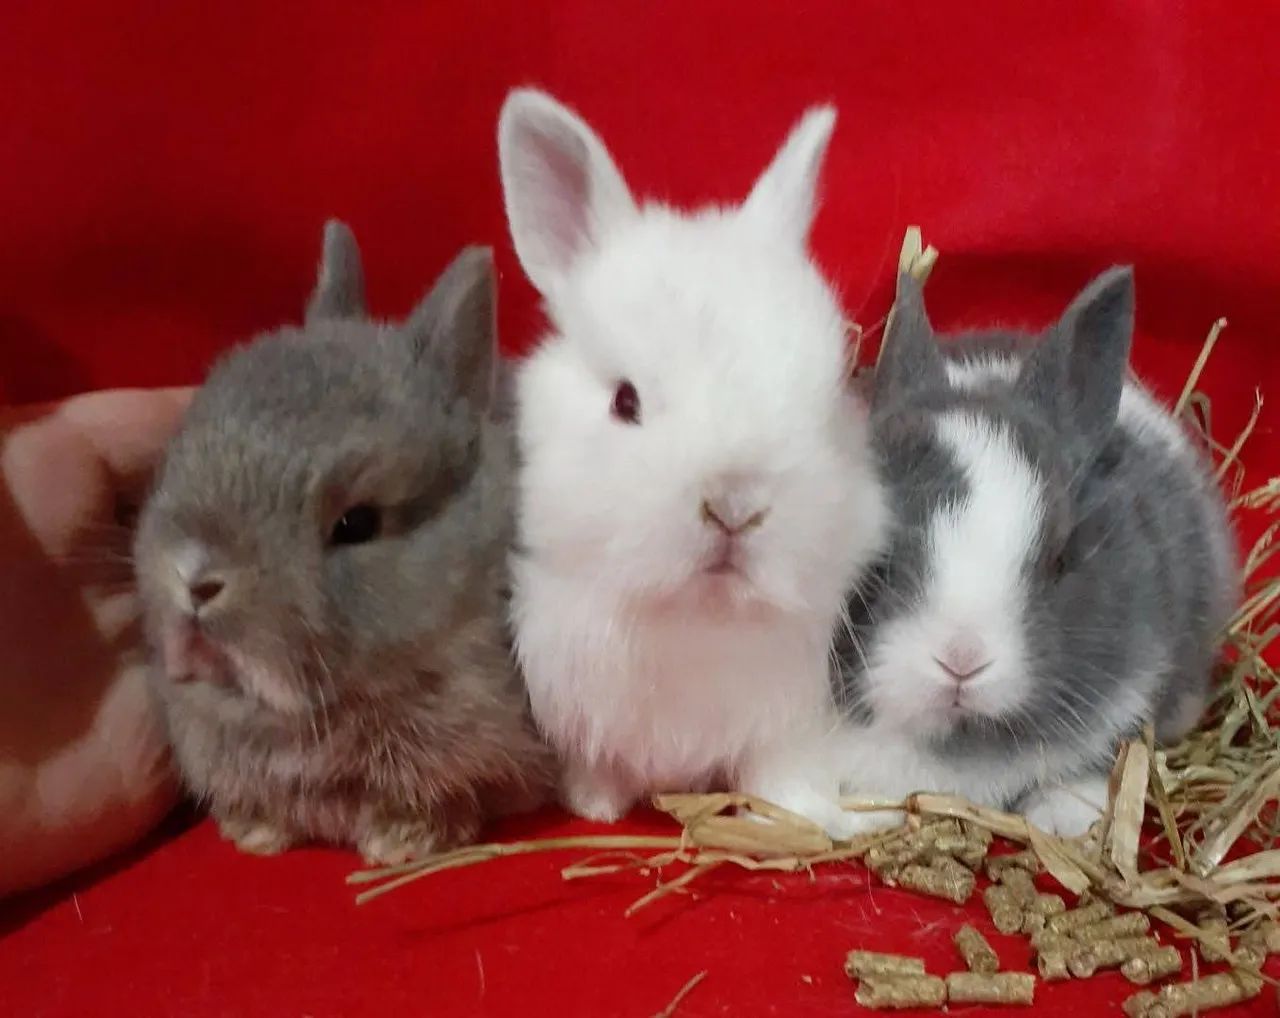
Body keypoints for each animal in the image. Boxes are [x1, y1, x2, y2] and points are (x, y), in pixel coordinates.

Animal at [497, 88, 889, 838]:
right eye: (625, 401)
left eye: (825, 399)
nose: (736, 506)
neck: (696, 619)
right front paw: (594, 806)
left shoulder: (789, 717)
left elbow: (781, 778)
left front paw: (810, 819)